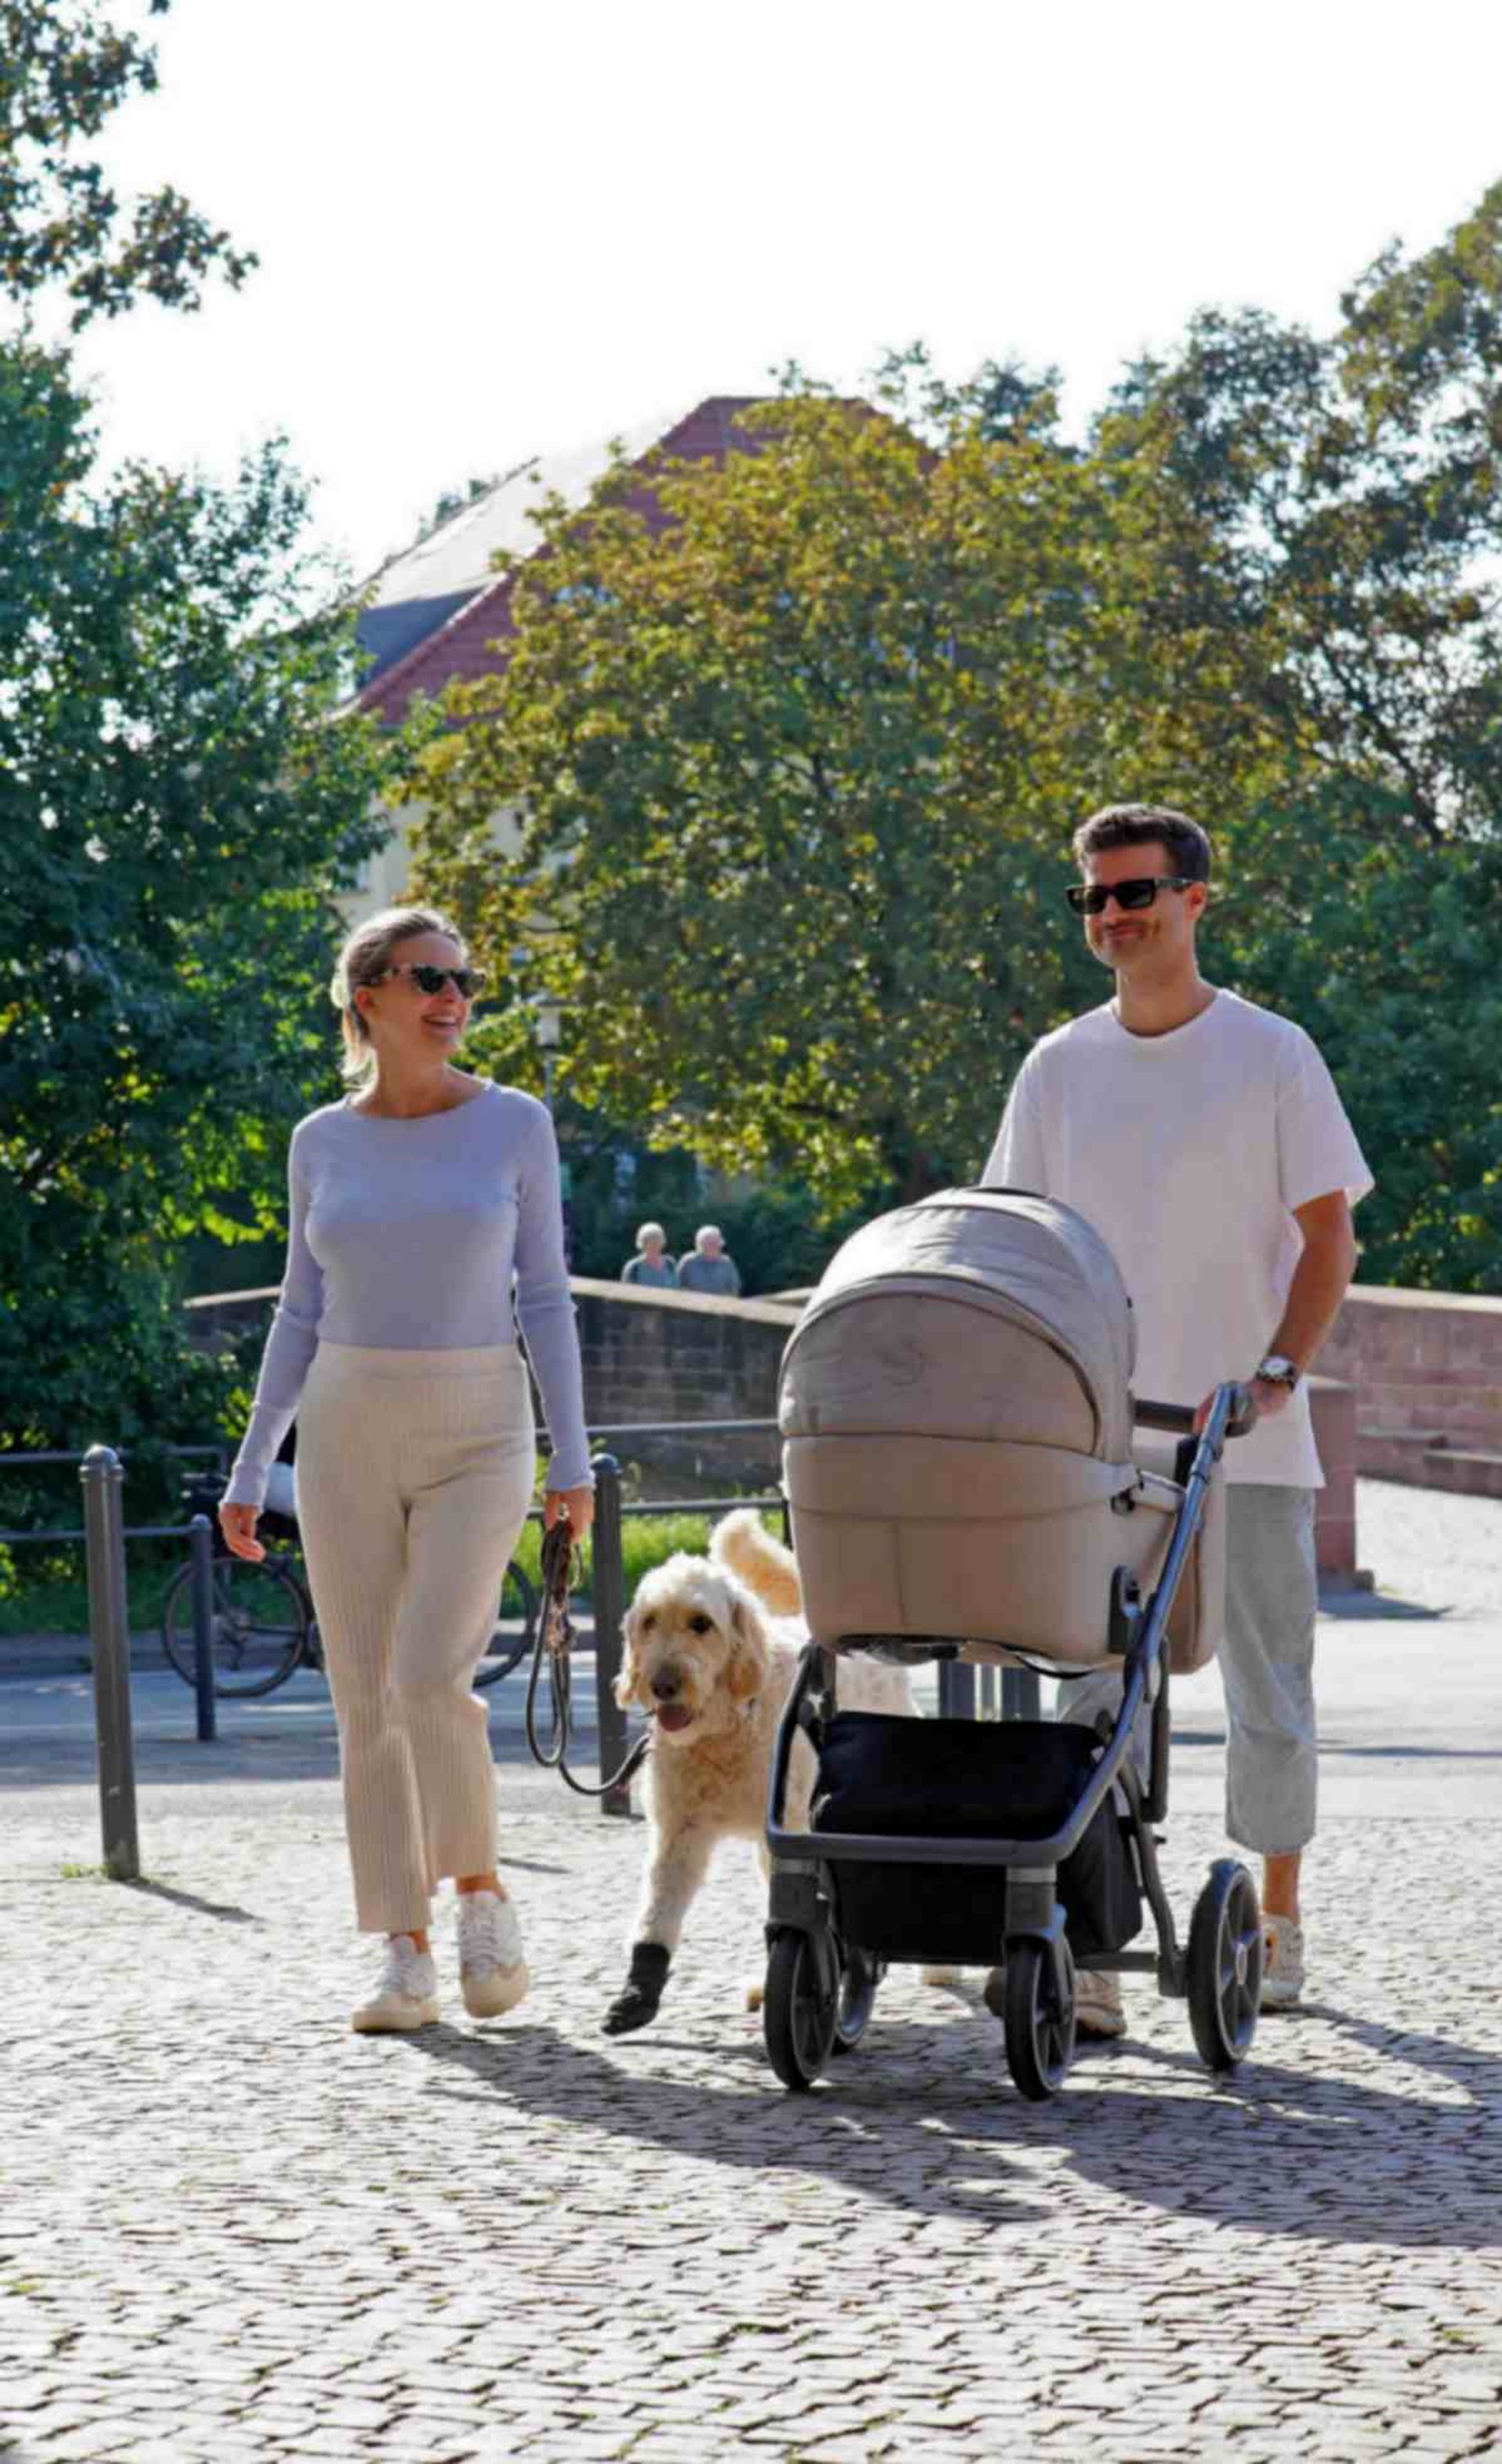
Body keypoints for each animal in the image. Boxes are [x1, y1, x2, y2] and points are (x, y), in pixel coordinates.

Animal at [603, 1508, 915, 2030]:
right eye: (649, 1622)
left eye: (701, 1624)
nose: (662, 1684)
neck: (724, 1729)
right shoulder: (678, 1834)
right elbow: (658, 1909)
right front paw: (638, 1991)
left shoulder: (789, 1833)